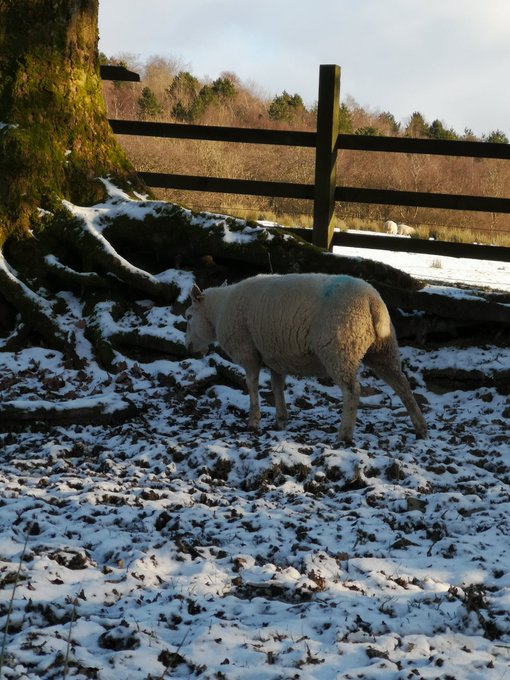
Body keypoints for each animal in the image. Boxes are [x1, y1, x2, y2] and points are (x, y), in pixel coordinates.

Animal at [185, 273, 427, 446]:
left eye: (188, 316)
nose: (188, 346)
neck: (217, 312)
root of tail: (372, 301)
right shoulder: (275, 357)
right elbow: (277, 387)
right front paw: (281, 419)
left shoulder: (248, 353)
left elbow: (252, 386)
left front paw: (253, 421)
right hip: (383, 349)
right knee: (402, 385)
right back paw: (420, 428)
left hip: (340, 349)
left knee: (353, 391)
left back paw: (344, 435)